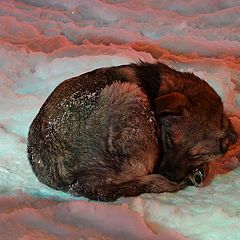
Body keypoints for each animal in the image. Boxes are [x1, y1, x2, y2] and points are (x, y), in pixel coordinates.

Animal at [27, 62, 237, 201]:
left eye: (196, 154)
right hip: (130, 93)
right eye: (169, 140)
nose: (167, 174)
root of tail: (78, 181)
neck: (158, 86)